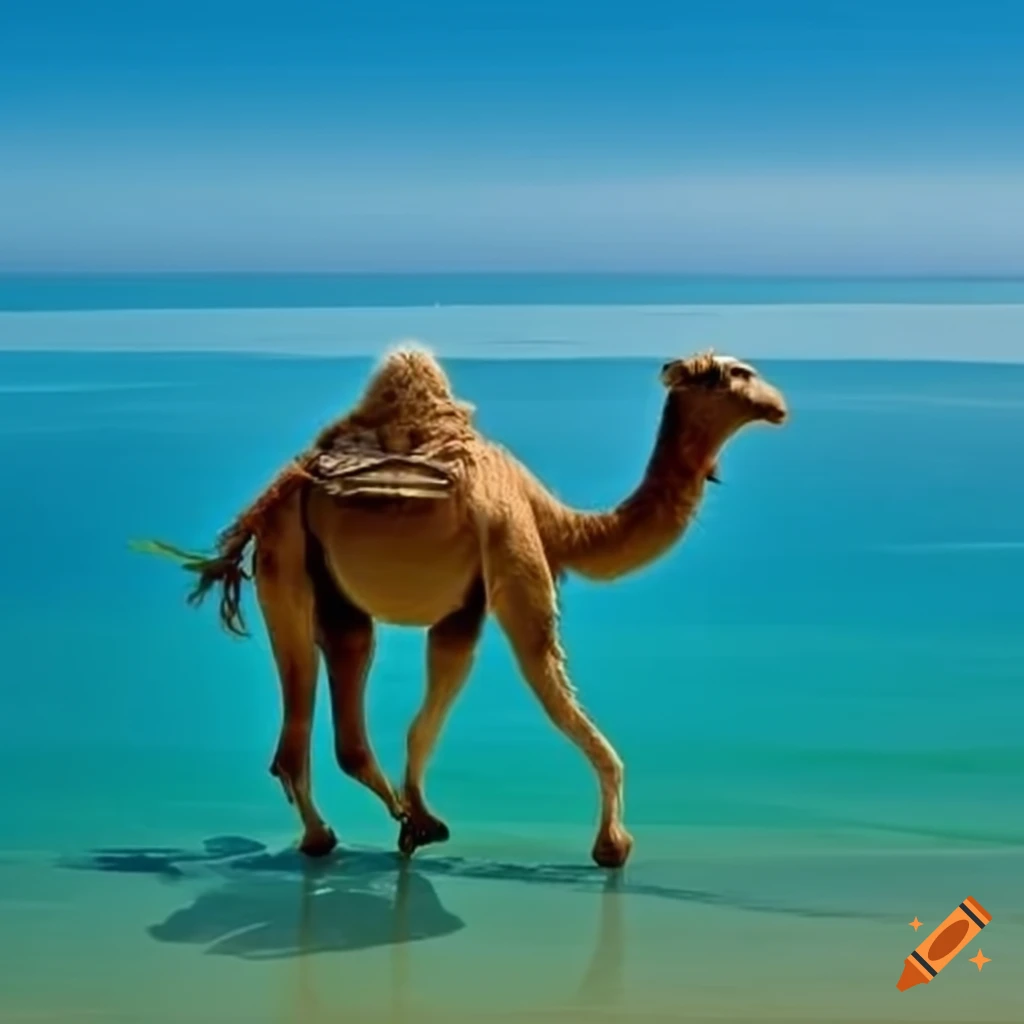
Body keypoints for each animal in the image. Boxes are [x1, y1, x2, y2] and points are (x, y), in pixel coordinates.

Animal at [141, 345, 787, 869]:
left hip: (313, 574)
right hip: (284, 560)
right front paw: (612, 846)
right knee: (306, 697)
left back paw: (345, 832)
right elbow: (537, 672)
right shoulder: (515, 557)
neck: (557, 522)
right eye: (736, 373)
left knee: (339, 681)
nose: (780, 405)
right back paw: (360, 830)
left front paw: (417, 826)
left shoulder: (465, 605)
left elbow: (432, 708)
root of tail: (277, 489)